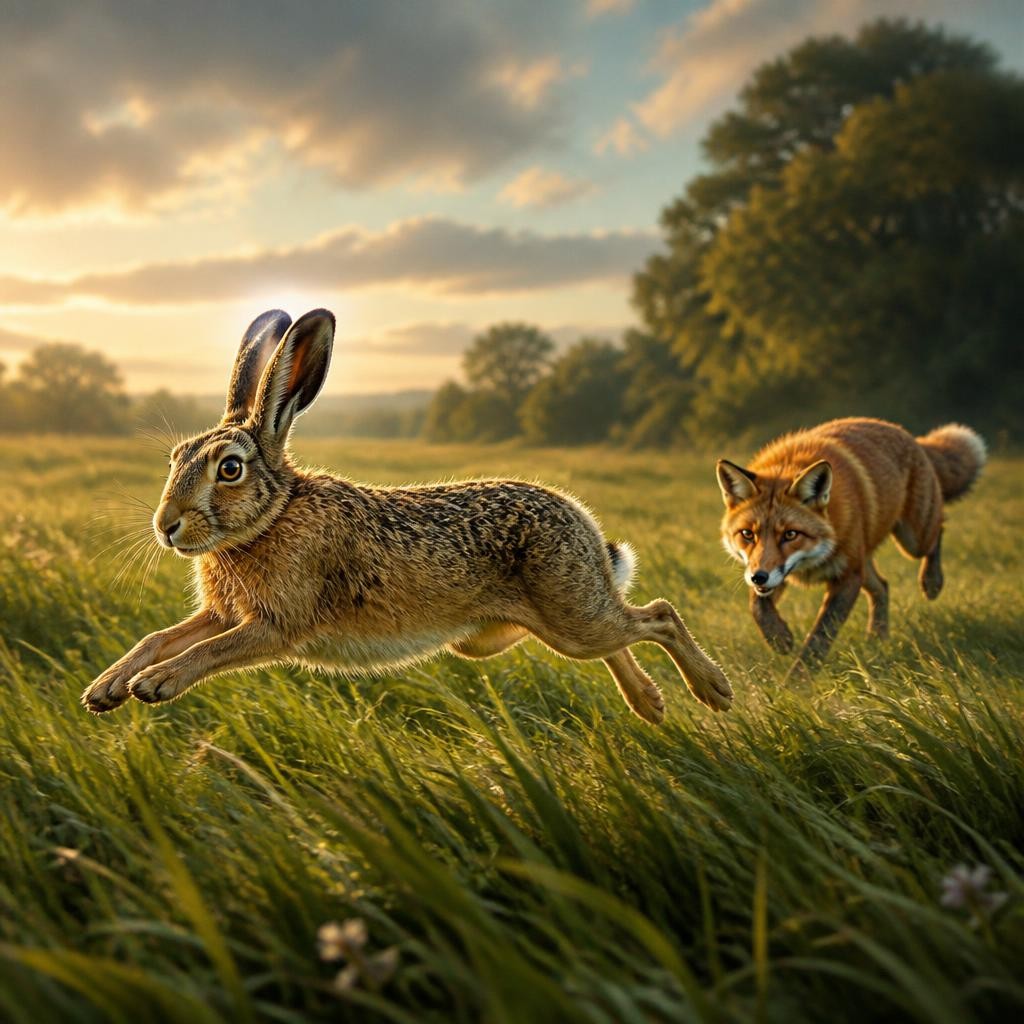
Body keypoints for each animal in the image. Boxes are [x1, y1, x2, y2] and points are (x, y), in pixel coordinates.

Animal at [82, 309, 734, 723]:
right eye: (175, 457)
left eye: (231, 469)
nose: (167, 526)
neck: (275, 514)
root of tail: (585, 525)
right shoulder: (224, 613)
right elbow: (161, 636)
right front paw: (107, 689)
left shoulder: (274, 625)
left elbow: (208, 652)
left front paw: (154, 684)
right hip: (520, 633)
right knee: (620, 633)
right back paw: (650, 703)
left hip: (570, 616)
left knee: (657, 616)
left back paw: (713, 691)